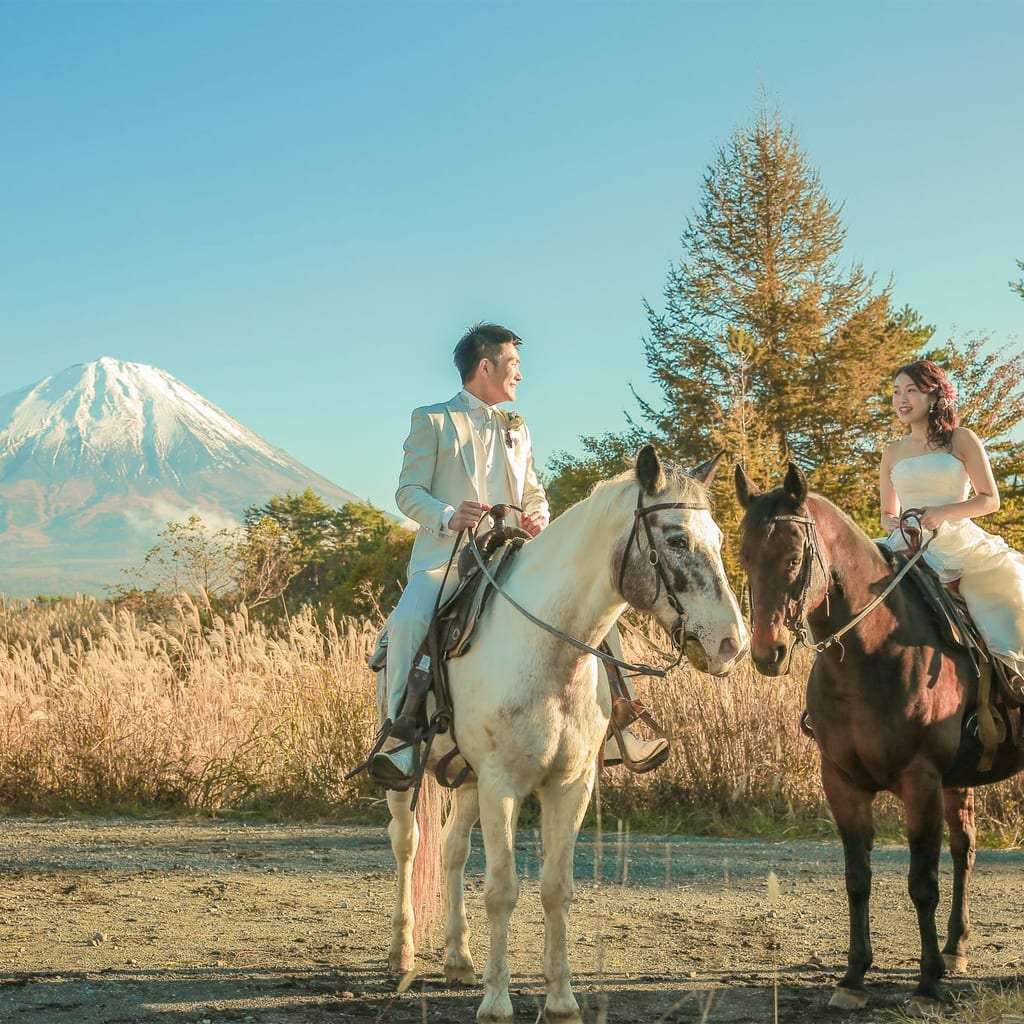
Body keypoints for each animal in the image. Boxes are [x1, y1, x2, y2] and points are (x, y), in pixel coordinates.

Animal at [376, 448, 745, 1024]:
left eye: (721, 539)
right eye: (677, 539)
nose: (733, 642)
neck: (548, 649)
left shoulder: (569, 785)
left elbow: (556, 889)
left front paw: (562, 999)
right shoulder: (502, 784)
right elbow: (502, 889)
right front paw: (497, 1001)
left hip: (465, 779)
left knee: (454, 851)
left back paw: (459, 959)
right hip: (411, 780)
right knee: (408, 845)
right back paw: (403, 953)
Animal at [741, 464, 1024, 1015]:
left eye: (792, 558)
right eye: (743, 557)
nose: (768, 653)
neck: (869, 654)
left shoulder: (921, 780)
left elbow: (922, 883)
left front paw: (927, 985)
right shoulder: (842, 782)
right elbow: (858, 879)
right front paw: (854, 977)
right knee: (966, 849)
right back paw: (956, 947)